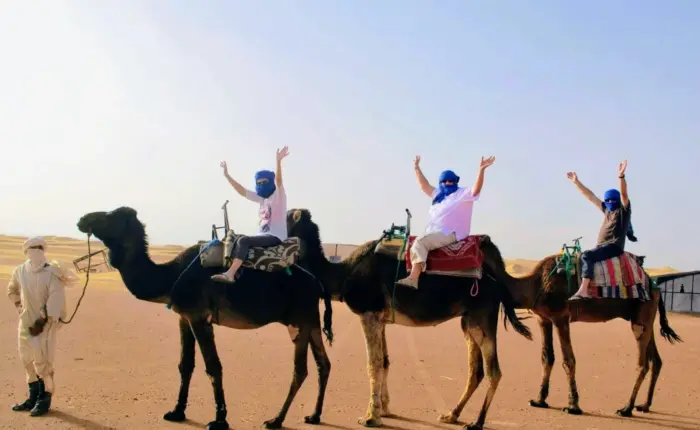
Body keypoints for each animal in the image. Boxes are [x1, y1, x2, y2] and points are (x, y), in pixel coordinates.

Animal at [77, 206, 334, 430]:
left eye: (111, 216)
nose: (82, 220)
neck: (170, 277)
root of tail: (318, 284)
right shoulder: (184, 317)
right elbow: (185, 365)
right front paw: (177, 411)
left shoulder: (200, 317)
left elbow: (213, 366)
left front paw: (219, 420)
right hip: (310, 321)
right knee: (324, 364)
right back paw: (314, 415)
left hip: (299, 321)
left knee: (300, 370)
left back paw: (276, 420)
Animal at [286, 208, 533, 430]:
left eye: (287, 217)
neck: (343, 274)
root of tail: (495, 275)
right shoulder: (381, 319)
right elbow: (385, 361)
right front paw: (385, 410)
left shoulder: (369, 313)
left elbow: (373, 364)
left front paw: (370, 417)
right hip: (469, 319)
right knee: (477, 370)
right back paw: (452, 415)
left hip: (482, 315)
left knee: (494, 371)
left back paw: (477, 422)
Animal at [479, 241, 682, 417]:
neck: (535, 284)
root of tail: (653, 284)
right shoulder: (543, 319)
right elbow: (547, 358)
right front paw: (539, 400)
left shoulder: (561, 317)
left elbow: (568, 360)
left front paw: (573, 406)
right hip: (643, 317)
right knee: (656, 360)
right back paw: (644, 405)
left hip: (641, 315)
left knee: (643, 363)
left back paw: (626, 408)